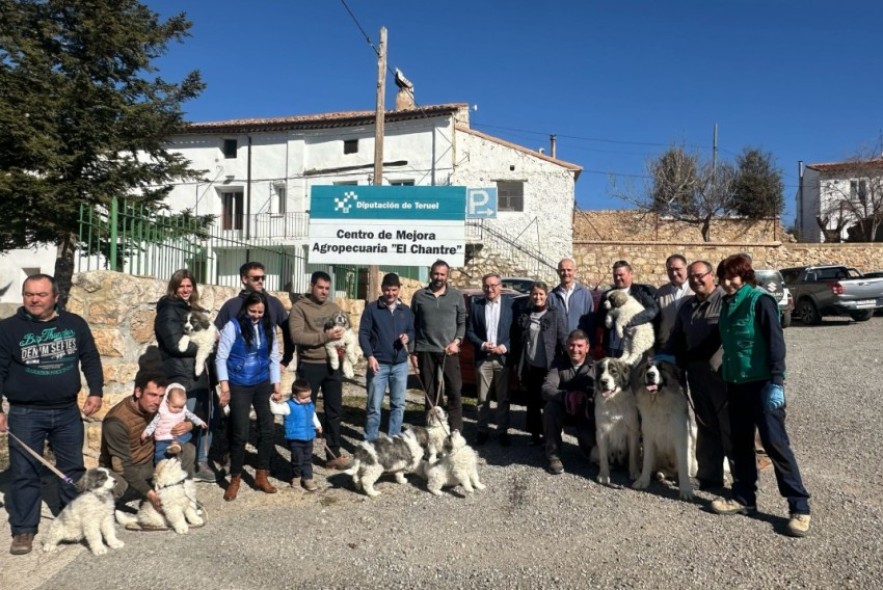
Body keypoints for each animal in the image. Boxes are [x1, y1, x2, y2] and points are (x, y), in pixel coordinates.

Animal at [592, 358, 644, 488]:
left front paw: (634, 472)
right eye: (601, 371)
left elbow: (633, 455)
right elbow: (603, 457)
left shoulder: (633, 432)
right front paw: (604, 475)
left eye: (613, 371)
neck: (613, 401)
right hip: (594, 449)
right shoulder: (601, 433)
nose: (603, 381)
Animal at [632, 358, 700, 502]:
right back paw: (660, 474)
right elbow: (647, 462)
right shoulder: (648, 438)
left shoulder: (681, 440)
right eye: (647, 368)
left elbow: (683, 468)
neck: (658, 401)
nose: (650, 374)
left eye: (661, 368)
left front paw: (686, 490)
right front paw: (643, 481)